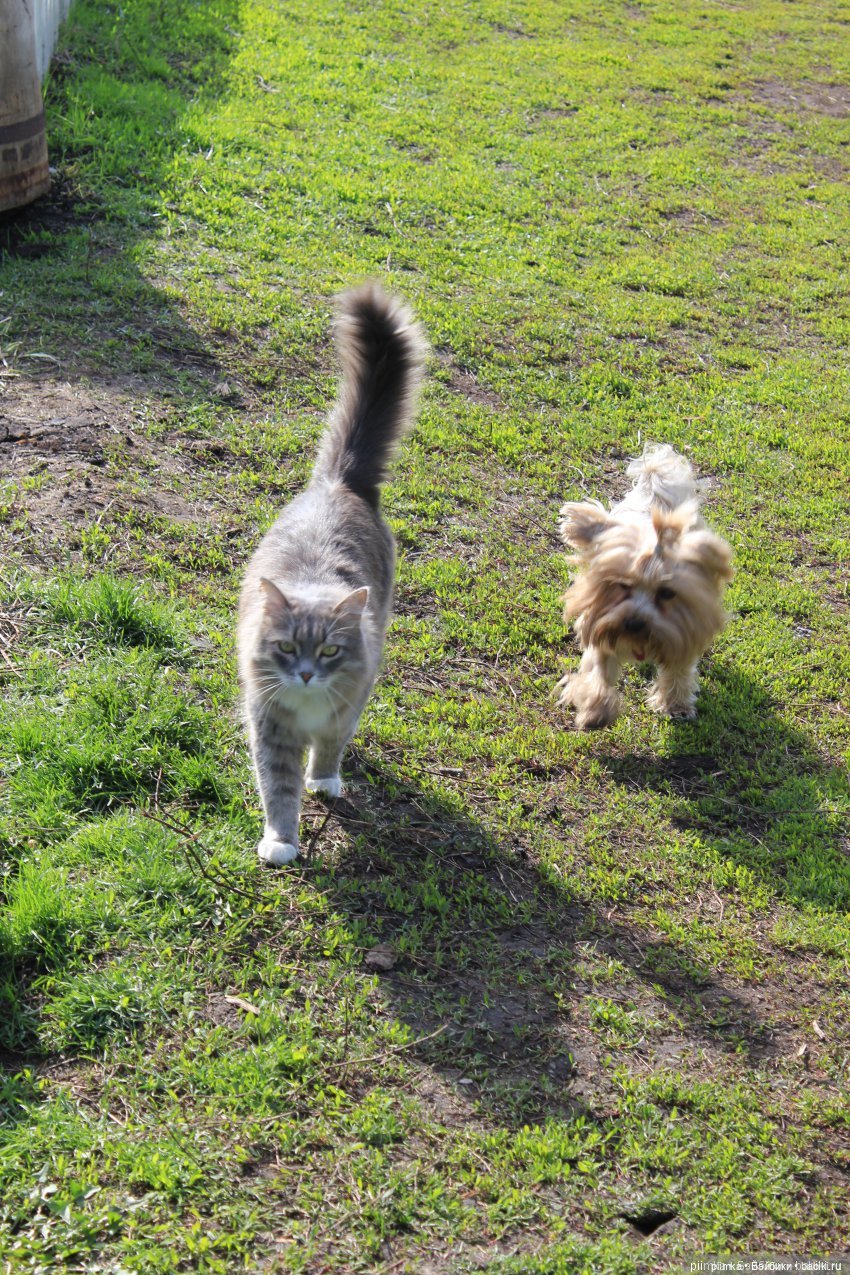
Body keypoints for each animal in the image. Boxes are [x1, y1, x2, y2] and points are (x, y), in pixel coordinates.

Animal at [237, 284, 426, 865]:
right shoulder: (270, 727)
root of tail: (339, 482)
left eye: (328, 652)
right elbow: (277, 789)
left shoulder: (346, 708)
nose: (303, 674)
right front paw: (281, 841)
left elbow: (327, 750)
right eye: (285, 648)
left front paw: (323, 782)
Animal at [555, 445, 732, 729]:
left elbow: (679, 670)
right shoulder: (601, 625)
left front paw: (676, 705)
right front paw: (596, 710)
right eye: (622, 585)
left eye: (666, 593)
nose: (633, 622)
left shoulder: (682, 632)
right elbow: (598, 671)